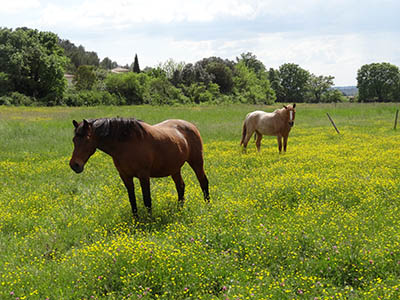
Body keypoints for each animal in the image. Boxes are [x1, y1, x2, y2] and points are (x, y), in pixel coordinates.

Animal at [69, 118, 211, 216]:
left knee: (203, 182)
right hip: (175, 168)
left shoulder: (143, 175)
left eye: (87, 139)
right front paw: (136, 220)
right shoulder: (125, 176)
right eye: (74, 140)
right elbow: (132, 199)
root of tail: (190, 125)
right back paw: (179, 210)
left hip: (197, 162)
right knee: (180, 186)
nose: (74, 165)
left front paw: (149, 220)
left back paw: (207, 206)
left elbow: (147, 199)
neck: (126, 145)